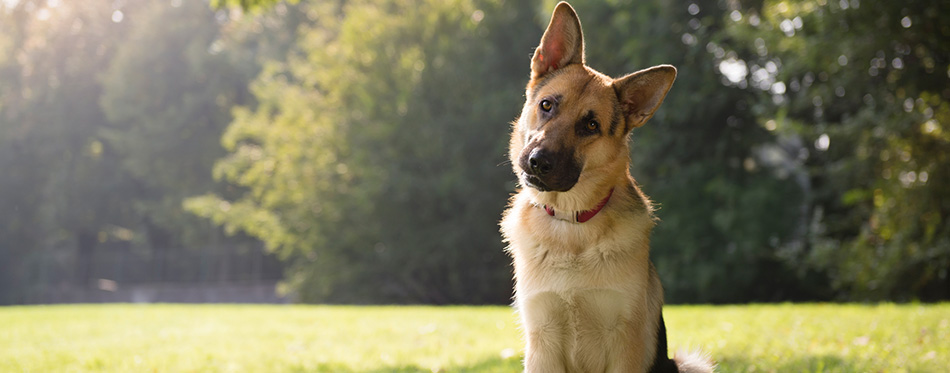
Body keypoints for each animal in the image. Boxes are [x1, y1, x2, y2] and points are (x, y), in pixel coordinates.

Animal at [506, 2, 712, 372]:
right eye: (547, 105)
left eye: (590, 125)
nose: (538, 162)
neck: (571, 222)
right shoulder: (542, 341)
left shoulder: (623, 342)